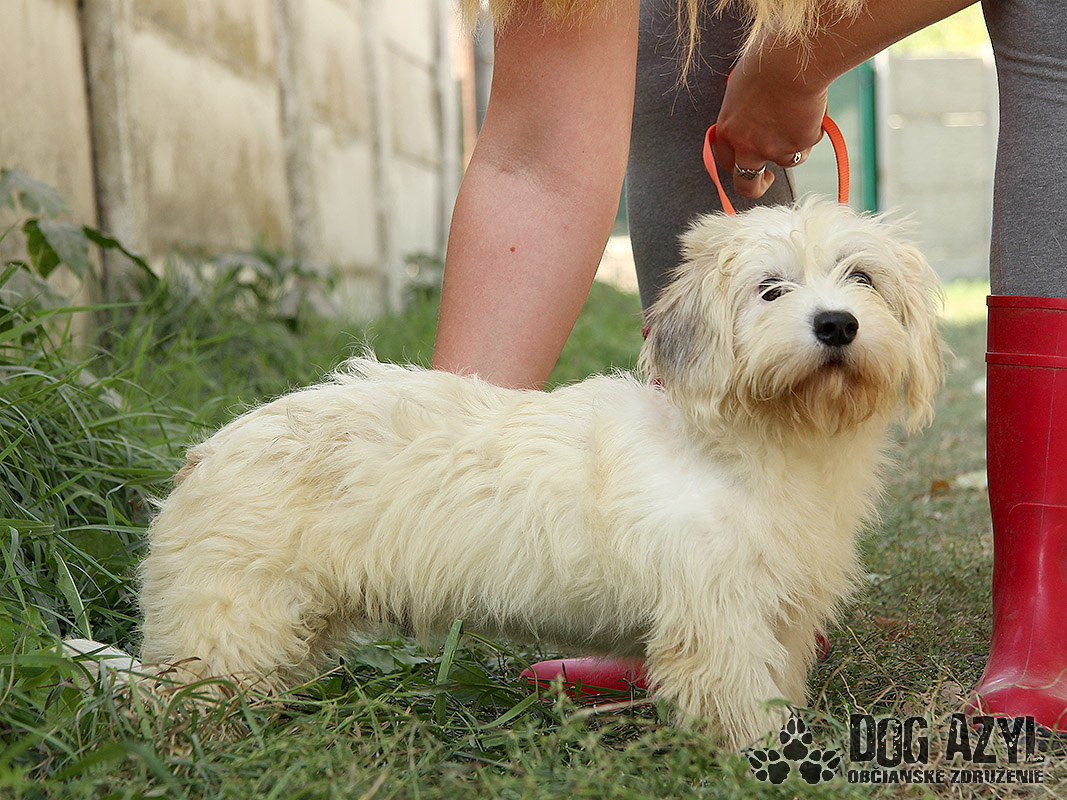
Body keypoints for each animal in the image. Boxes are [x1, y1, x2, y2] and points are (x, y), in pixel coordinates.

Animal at [135, 199, 944, 748]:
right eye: (770, 288)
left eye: (861, 277)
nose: (836, 324)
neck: (760, 442)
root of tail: (204, 455)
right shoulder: (717, 620)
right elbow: (740, 704)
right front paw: (770, 760)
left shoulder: (781, 610)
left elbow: (778, 682)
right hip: (227, 630)